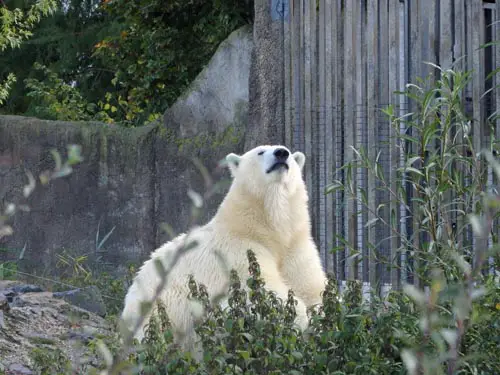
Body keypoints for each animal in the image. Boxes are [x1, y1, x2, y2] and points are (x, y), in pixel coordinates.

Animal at [121, 145, 328, 356]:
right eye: (261, 152)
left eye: (289, 153)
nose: (281, 153)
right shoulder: (237, 252)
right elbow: (256, 289)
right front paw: (301, 321)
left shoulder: (295, 247)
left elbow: (312, 287)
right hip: (162, 305)